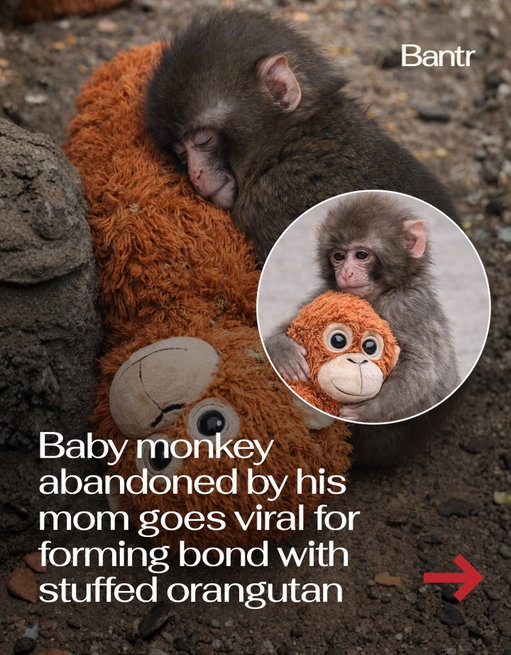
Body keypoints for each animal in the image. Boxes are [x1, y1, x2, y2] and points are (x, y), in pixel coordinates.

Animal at [265, 193, 460, 429]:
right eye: (338, 256)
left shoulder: (406, 305)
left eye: (361, 255)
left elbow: (420, 367)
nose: (346, 273)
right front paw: (284, 352)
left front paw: (366, 411)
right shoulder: (326, 295)